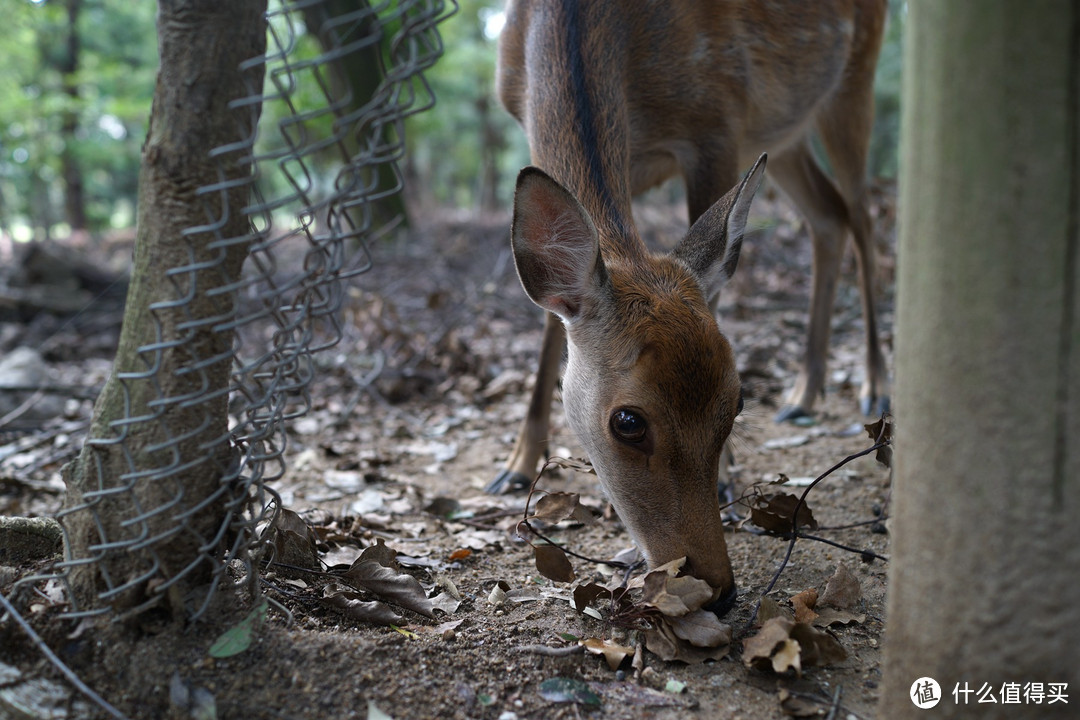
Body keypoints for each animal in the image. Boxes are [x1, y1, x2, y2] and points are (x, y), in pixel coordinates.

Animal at [488, 0, 885, 613]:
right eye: (628, 422)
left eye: (737, 401)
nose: (716, 588)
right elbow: (552, 318)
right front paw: (516, 464)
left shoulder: (717, 119)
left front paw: (729, 475)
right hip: (786, 130)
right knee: (829, 216)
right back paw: (803, 392)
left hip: (852, 82)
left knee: (863, 214)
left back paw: (873, 382)